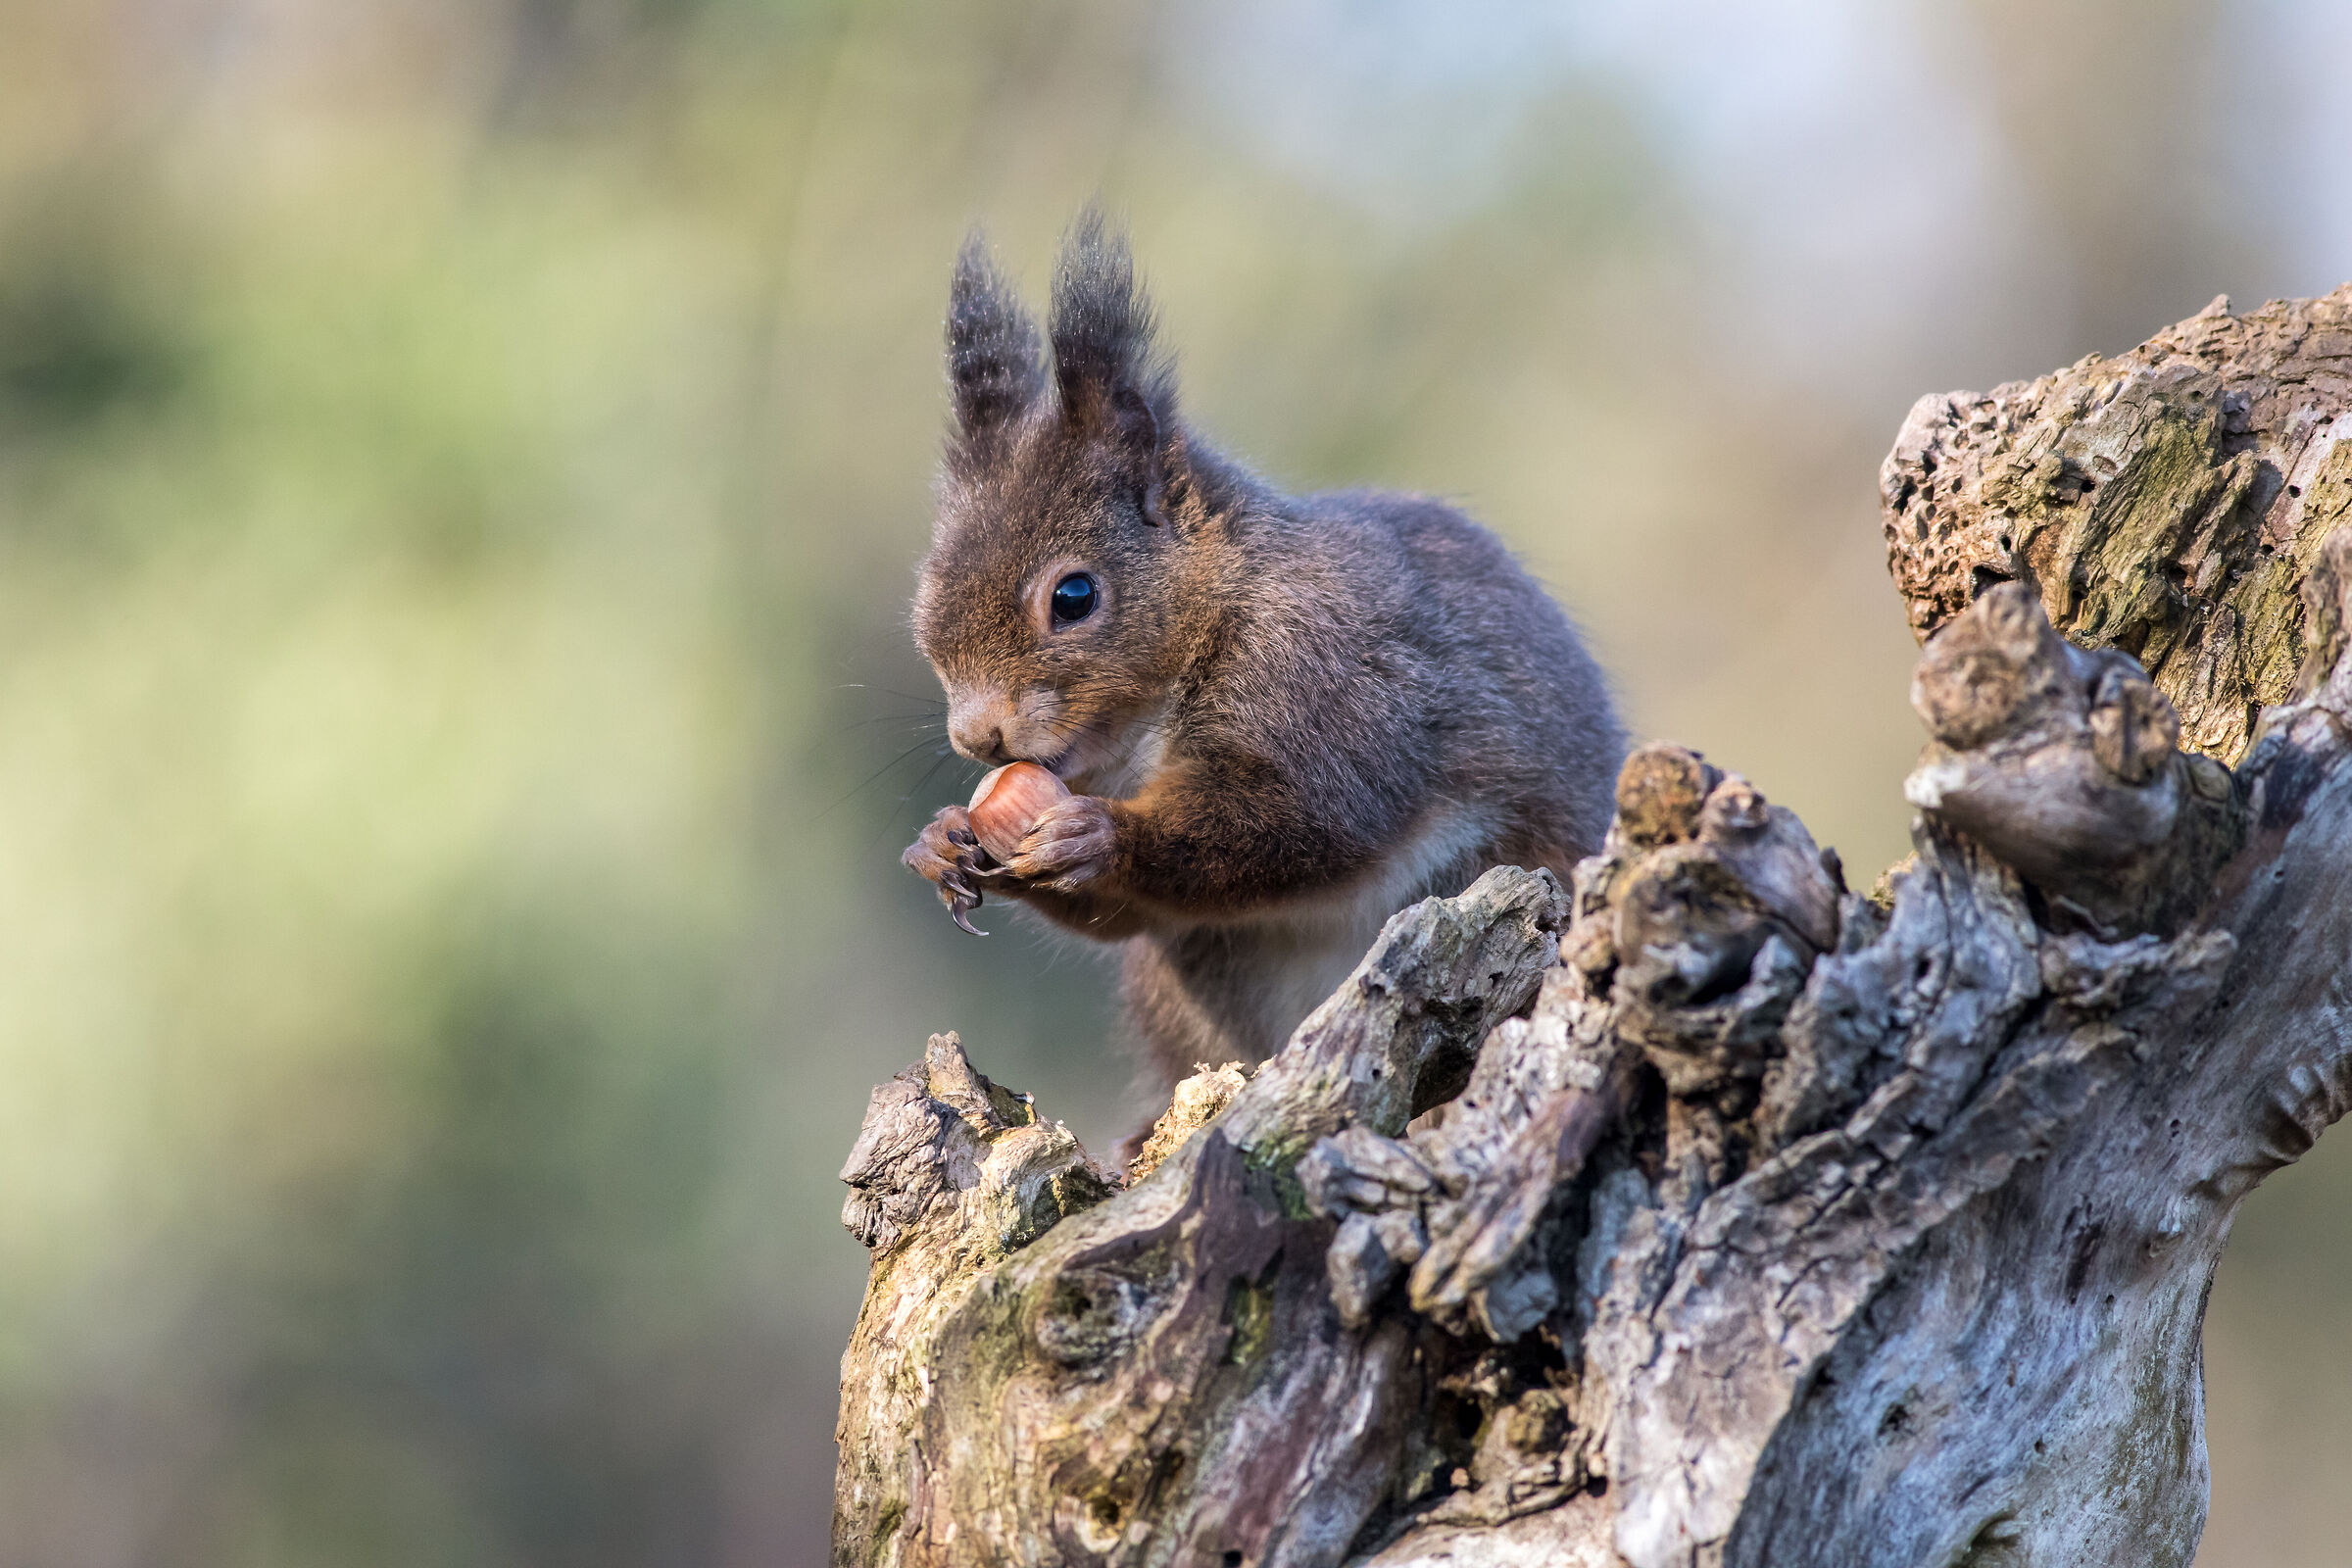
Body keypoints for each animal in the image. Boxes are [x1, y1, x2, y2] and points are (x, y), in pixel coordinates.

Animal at [903, 214, 1626, 1109]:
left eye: (1073, 596)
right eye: (924, 597)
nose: (977, 738)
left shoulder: (1331, 679)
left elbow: (1308, 817)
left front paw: (1098, 835)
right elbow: (1136, 913)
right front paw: (941, 842)